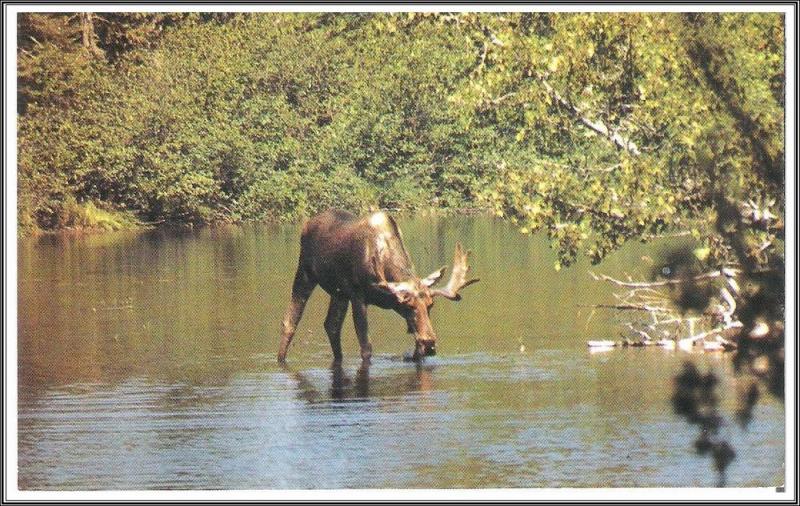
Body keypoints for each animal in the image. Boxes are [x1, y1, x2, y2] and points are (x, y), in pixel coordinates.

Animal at [278, 210, 478, 364]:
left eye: (430, 305)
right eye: (409, 306)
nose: (429, 342)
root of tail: (307, 223)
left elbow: (416, 352)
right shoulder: (357, 295)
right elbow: (366, 347)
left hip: (338, 293)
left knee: (331, 325)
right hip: (305, 273)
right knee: (290, 320)